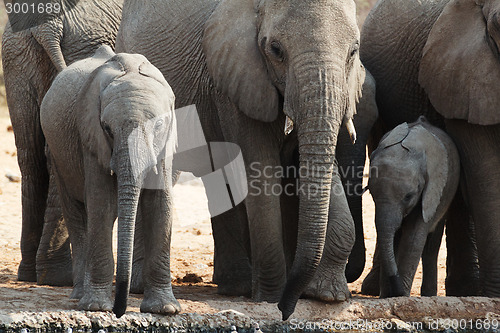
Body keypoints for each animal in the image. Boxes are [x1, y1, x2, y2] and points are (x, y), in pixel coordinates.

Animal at [1, 0, 123, 286]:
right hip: (78, 45)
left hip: (16, 54)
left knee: (31, 154)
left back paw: (31, 273)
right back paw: (57, 276)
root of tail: (47, 25)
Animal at [40, 45, 180, 316]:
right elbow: (101, 204)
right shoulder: (89, 137)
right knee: (76, 213)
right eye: (107, 128)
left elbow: (161, 204)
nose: (119, 311)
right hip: (57, 155)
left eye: (159, 125)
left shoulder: (167, 142)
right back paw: (80, 296)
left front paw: (165, 310)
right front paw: (96, 307)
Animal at [116, 0, 364, 318]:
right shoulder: (234, 80)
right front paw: (270, 297)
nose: (287, 309)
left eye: (353, 51)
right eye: (275, 50)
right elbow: (260, 170)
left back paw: (236, 287)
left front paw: (328, 296)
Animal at [366, 116, 458, 296]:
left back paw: (428, 294)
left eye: (409, 197)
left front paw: (401, 296)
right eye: (372, 193)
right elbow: (392, 236)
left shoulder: (430, 193)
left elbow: (413, 238)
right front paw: (387, 297)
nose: (398, 290)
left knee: (431, 245)